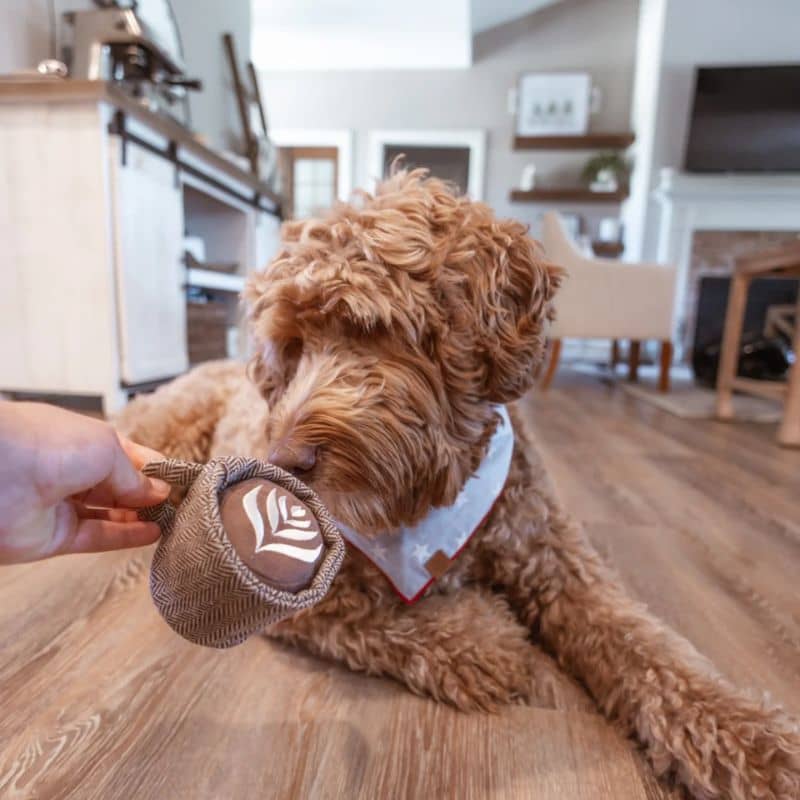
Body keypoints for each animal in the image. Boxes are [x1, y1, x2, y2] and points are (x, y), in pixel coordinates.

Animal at [119, 170, 800, 800]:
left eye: (367, 327)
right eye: (291, 347)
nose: (282, 458)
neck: (430, 500)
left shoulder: (561, 567)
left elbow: (650, 647)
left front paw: (756, 746)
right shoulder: (310, 602)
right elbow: (391, 622)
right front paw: (489, 638)